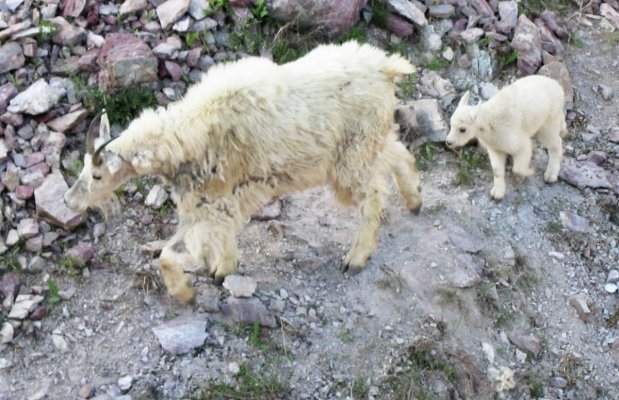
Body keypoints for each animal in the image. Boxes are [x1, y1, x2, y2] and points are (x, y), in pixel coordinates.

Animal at [65, 41, 424, 304]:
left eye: (97, 176)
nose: (71, 201)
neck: (185, 136)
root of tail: (387, 68)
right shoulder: (225, 198)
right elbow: (223, 235)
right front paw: (222, 270)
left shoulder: (208, 202)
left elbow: (168, 255)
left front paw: (186, 292)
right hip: (367, 141)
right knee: (398, 154)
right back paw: (415, 201)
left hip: (351, 156)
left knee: (372, 195)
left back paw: (357, 257)